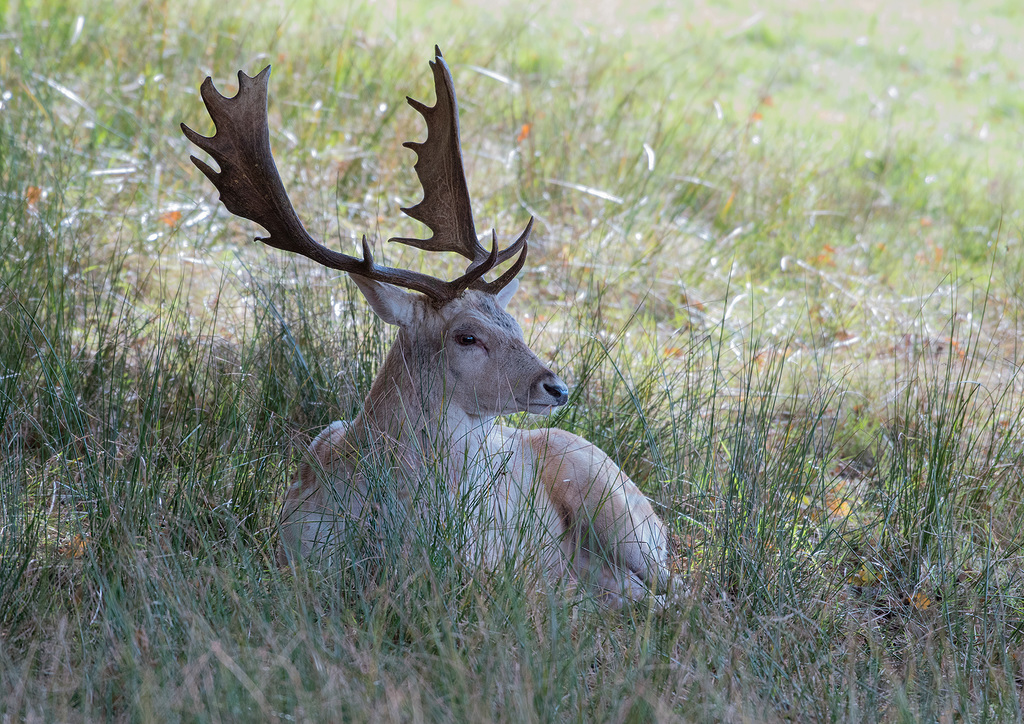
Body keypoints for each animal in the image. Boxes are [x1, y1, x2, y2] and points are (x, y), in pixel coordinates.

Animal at [184, 42, 675, 602]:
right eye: (467, 336)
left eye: (517, 324)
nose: (557, 387)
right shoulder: (295, 555)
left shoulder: (483, 563)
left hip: (621, 509)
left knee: (673, 587)